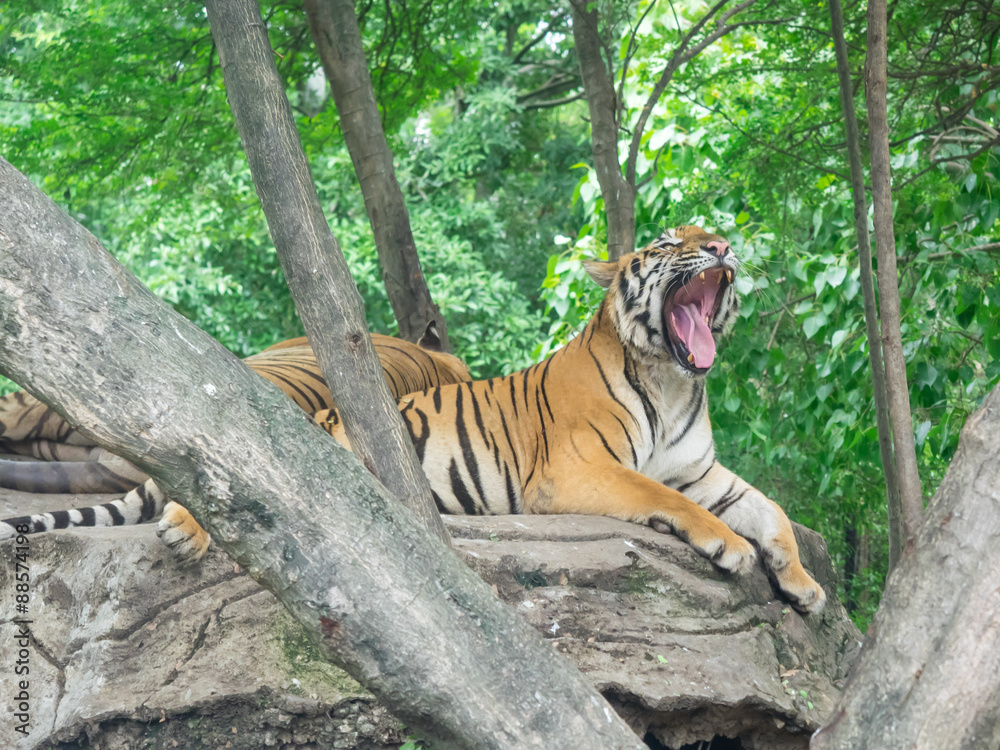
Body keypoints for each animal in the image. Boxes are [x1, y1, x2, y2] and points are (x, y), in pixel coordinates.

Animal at [313, 226, 826, 613]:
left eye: (712, 233)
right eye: (666, 243)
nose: (720, 247)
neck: (671, 382)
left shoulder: (697, 472)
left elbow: (771, 509)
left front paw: (804, 584)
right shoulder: (574, 469)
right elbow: (663, 495)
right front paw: (731, 544)